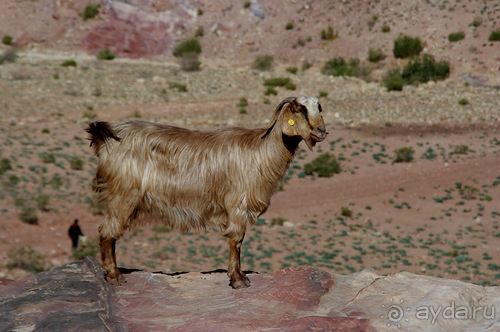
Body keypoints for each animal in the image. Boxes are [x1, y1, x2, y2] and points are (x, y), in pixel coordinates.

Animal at [86, 96, 328, 288]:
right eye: (299, 109)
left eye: (319, 107)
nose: (322, 131)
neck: (261, 151)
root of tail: (106, 137)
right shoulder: (237, 205)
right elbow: (236, 240)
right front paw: (238, 280)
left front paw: (238, 277)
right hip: (123, 196)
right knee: (107, 232)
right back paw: (114, 276)